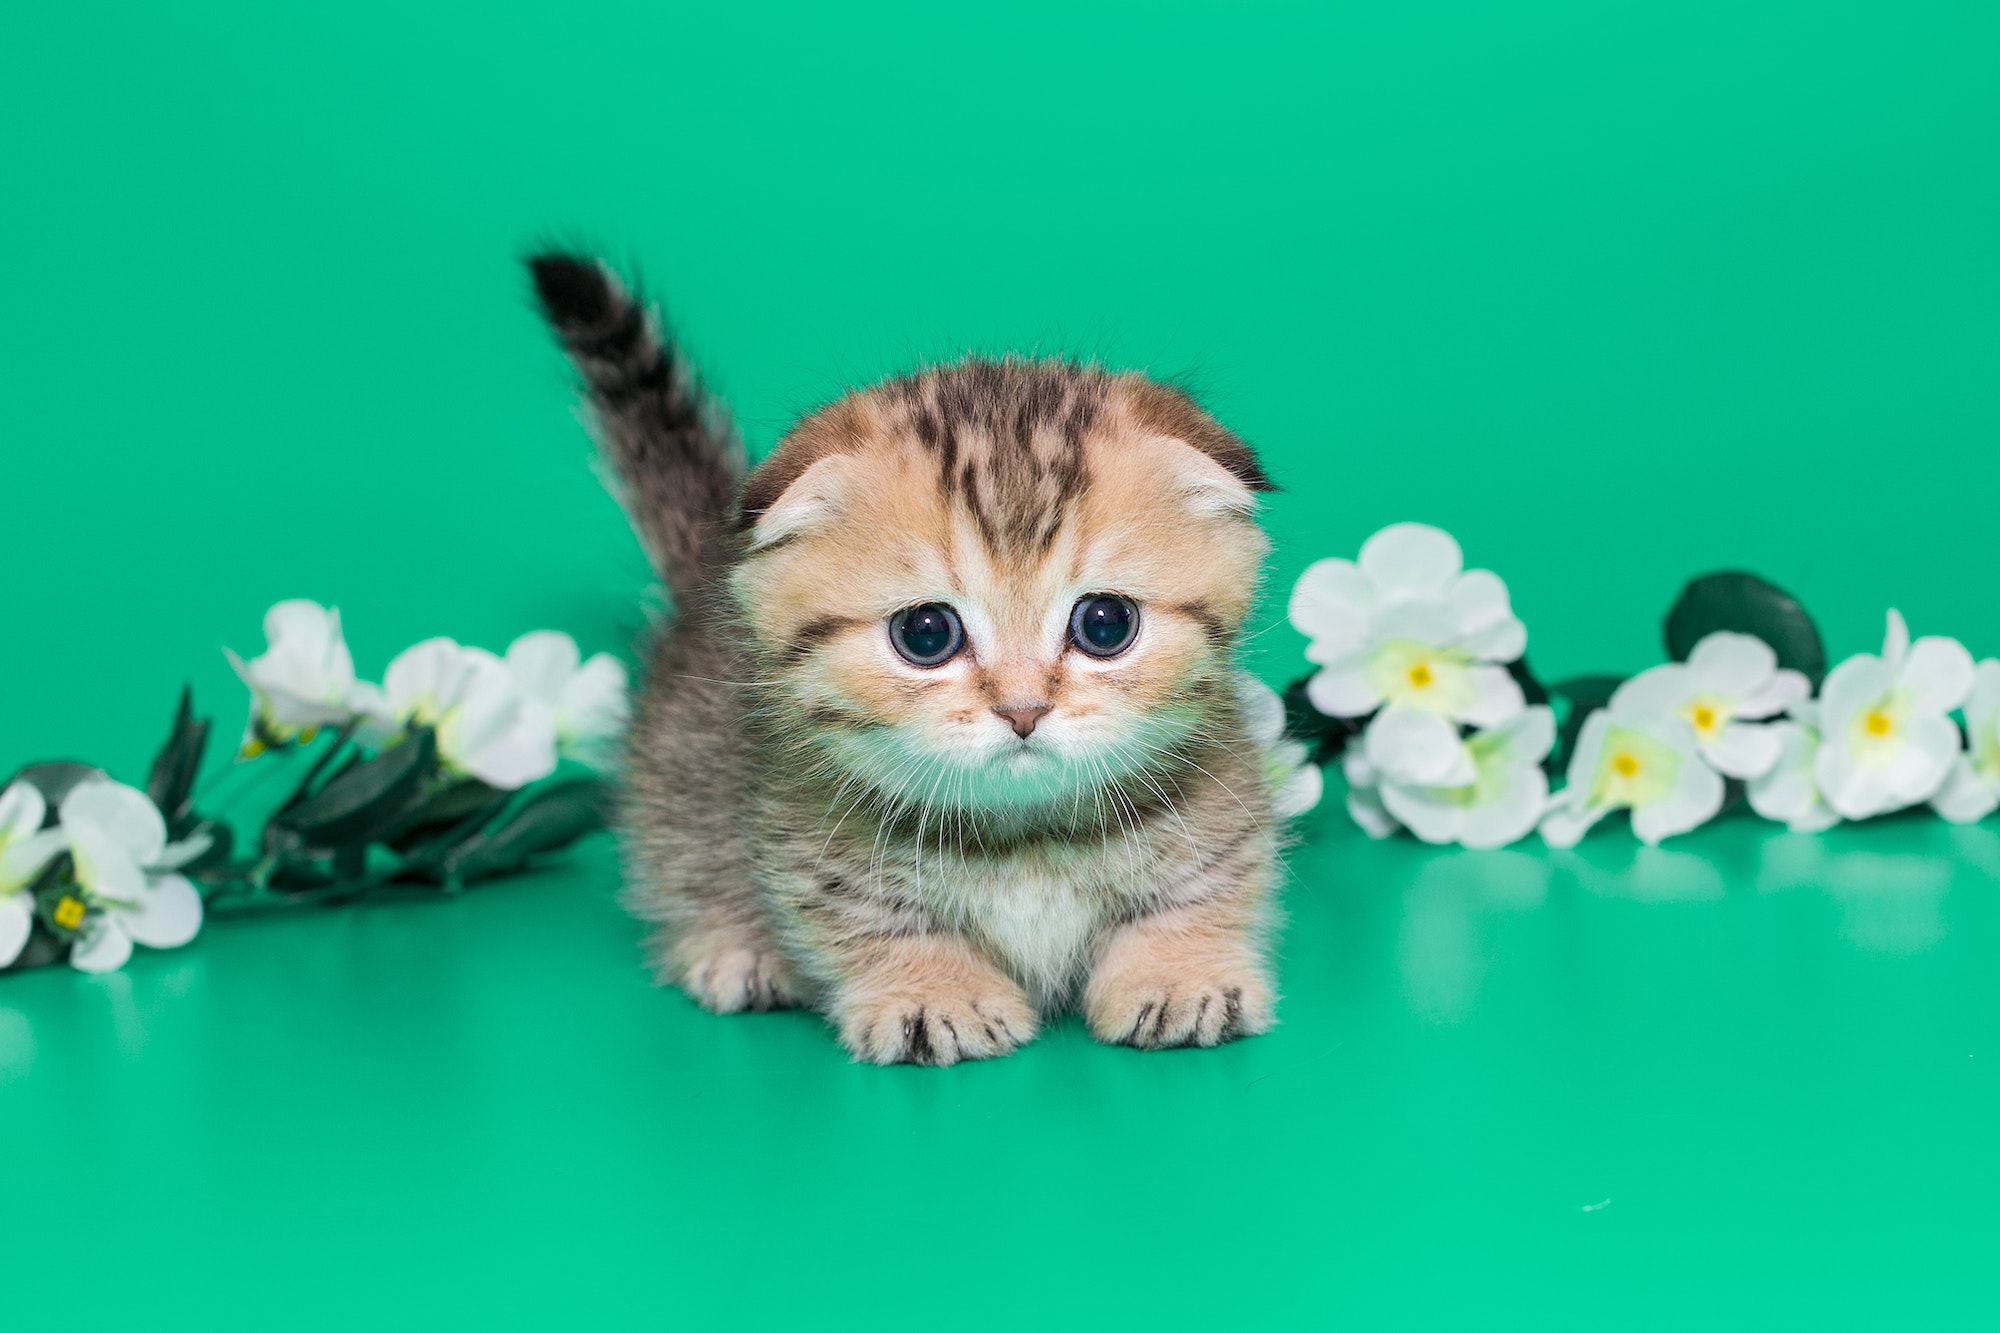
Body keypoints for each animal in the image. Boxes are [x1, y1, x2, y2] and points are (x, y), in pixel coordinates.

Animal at [528, 246, 1280, 1056]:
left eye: (1105, 625)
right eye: (926, 634)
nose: (1023, 709)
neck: (1024, 838)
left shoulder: (1222, 803)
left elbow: (1203, 889)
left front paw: (1177, 974)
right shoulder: (806, 839)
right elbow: (869, 921)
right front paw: (934, 992)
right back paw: (739, 947)